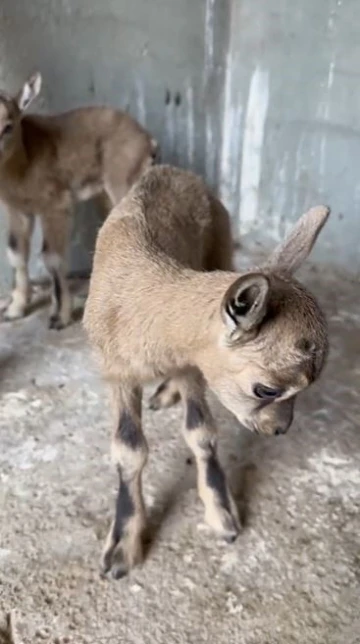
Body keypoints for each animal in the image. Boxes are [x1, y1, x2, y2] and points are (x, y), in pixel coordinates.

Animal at [0, 73, 158, 330]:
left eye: (8, 126)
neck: (24, 163)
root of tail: (148, 141)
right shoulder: (18, 209)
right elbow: (16, 254)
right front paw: (15, 309)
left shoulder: (56, 204)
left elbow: (51, 257)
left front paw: (59, 317)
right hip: (105, 194)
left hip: (124, 181)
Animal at [83, 165, 330, 580]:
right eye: (266, 389)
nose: (279, 429)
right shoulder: (116, 371)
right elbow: (129, 450)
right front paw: (121, 548)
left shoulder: (193, 364)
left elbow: (201, 433)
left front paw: (223, 515)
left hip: (220, 246)